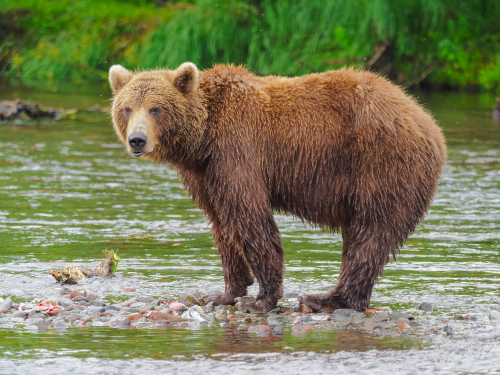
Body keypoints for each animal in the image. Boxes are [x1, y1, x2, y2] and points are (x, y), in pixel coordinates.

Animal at [108, 62, 446, 314]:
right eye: (127, 108)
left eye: (156, 109)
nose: (137, 140)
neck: (202, 139)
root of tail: (429, 123)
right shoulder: (205, 175)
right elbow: (222, 225)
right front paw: (225, 292)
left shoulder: (237, 151)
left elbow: (249, 218)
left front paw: (260, 299)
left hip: (381, 164)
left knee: (370, 233)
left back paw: (327, 299)